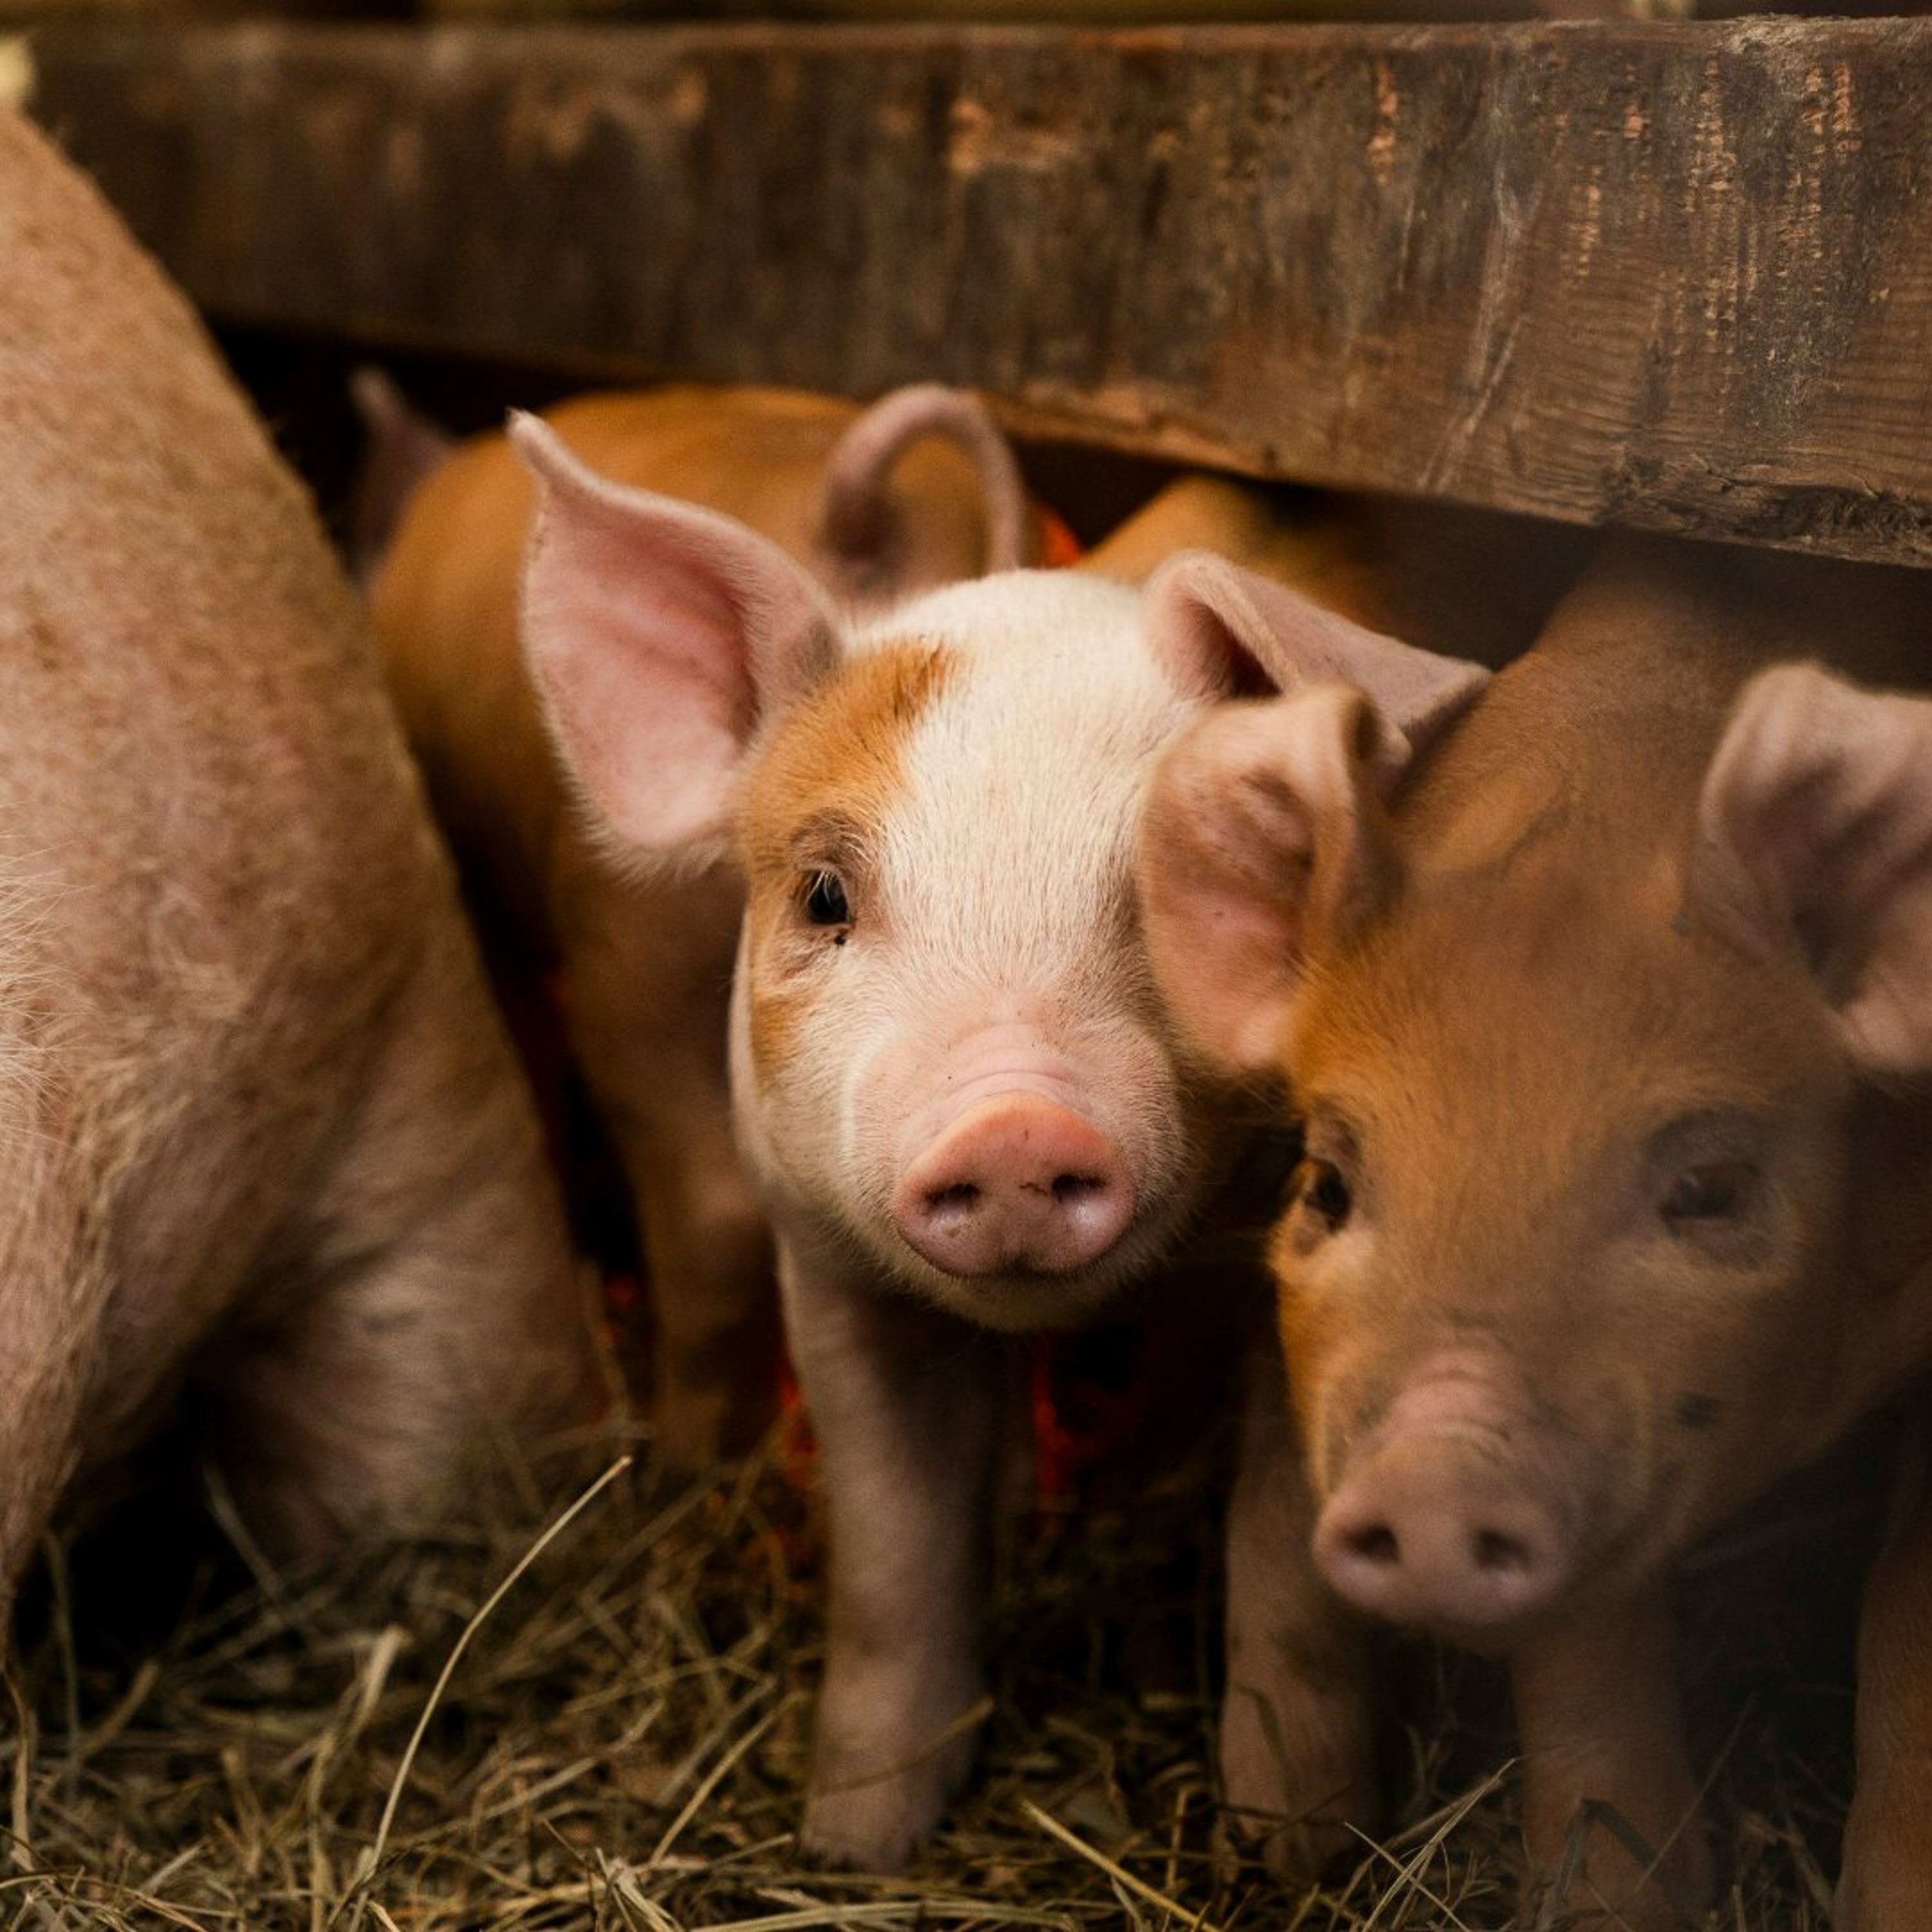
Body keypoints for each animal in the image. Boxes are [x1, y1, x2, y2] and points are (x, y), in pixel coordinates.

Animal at [508, 411, 1501, 1872]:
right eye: (824, 894)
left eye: (1181, 888)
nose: (1013, 1120)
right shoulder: (831, 1273)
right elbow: (892, 1558)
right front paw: (854, 1844)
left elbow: (1285, 1565)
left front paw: (1299, 1855)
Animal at [1137, 530, 1932, 1929]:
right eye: (1328, 1185)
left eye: (1710, 1187)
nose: (1433, 1477)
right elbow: (1586, 1658)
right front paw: (1615, 1904)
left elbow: (1908, 1631)